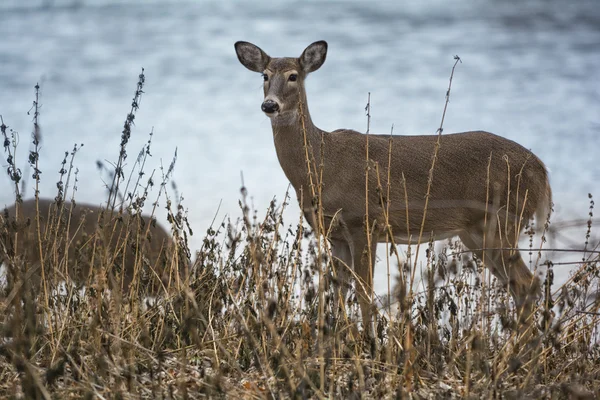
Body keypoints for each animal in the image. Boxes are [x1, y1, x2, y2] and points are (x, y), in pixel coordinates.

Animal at [236, 40, 552, 334]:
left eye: (293, 76)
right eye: (264, 75)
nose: (270, 105)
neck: (323, 163)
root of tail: (542, 172)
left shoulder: (364, 221)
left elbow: (364, 293)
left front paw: (369, 342)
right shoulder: (335, 233)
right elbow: (337, 290)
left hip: (503, 220)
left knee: (526, 283)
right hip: (476, 232)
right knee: (518, 284)